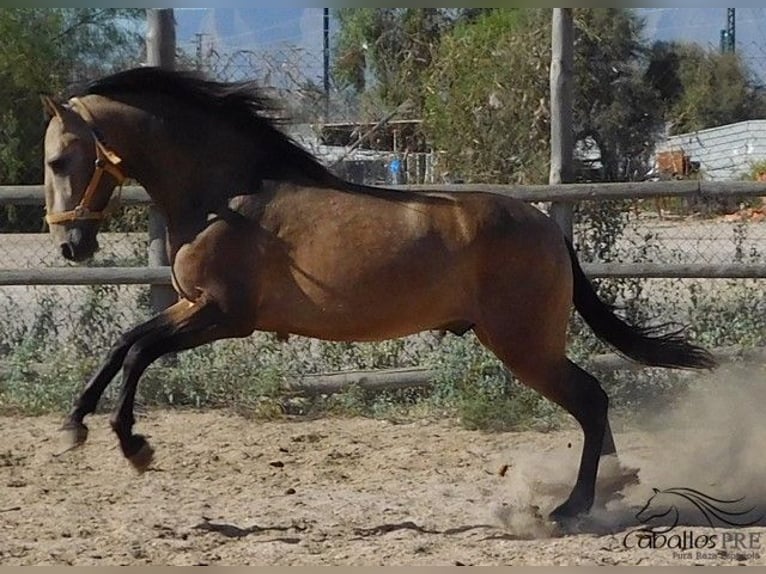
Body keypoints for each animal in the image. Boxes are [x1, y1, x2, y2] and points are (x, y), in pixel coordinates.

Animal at [37, 67, 720, 528]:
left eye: (60, 158)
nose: (70, 244)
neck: (226, 196)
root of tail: (549, 228)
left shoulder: (222, 315)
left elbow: (137, 352)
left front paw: (132, 445)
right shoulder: (192, 309)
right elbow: (124, 344)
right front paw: (75, 427)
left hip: (525, 348)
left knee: (592, 400)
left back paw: (575, 508)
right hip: (525, 346)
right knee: (592, 405)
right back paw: (606, 495)